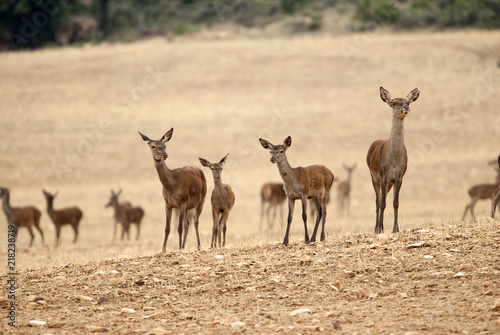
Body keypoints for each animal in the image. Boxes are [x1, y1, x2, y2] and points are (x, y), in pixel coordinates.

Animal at [366, 85, 420, 235]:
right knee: (377, 201)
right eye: (394, 102)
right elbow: (383, 203)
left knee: (381, 199)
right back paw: (376, 228)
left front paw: (396, 228)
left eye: (408, 101)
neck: (394, 161)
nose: (406, 107)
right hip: (374, 178)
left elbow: (395, 203)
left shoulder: (399, 177)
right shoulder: (383, 175)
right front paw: (379, 229)